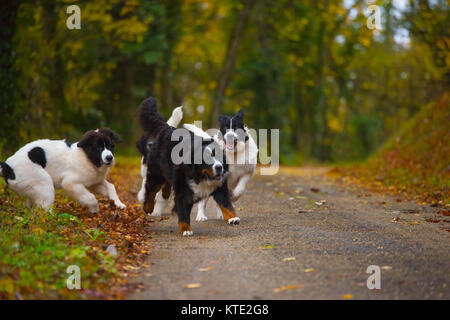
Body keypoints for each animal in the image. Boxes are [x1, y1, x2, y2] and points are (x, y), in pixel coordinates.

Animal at [137, 97, 239, 235]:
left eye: (218, 156)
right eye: (206, 158)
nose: (219, 167)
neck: (200, 176)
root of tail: (166, 128)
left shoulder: (220, 187)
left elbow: (225, 204)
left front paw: (233, 218)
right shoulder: (183, 190)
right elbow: (183, 211)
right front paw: (185, 229)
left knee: (166, 184)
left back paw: (165, 193)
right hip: (156, 173)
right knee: (151, 189)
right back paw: (148, 207)